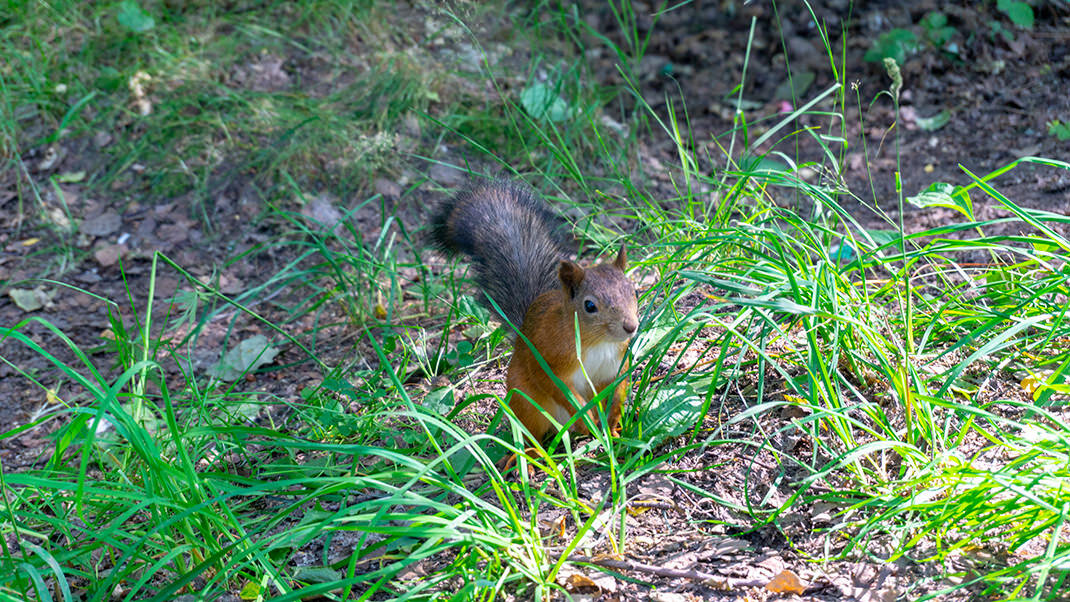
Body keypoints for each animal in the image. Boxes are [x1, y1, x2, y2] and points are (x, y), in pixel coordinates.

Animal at [430, 178, 637, 442]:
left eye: (634, 291)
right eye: (590, 306)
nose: (630, 326)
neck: (597, 342)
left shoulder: (615, 365)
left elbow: (618, 389)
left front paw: (613, 423)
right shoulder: (548, 357)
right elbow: (558, 387)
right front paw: (586, 419)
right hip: (527, 402)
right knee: (531, 433)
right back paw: (533, 448)